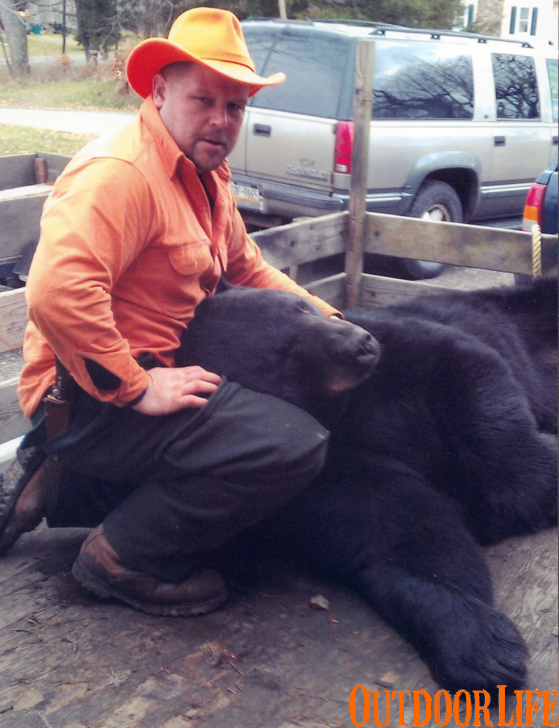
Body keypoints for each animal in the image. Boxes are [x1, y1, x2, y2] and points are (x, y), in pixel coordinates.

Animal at [174, 277, 558, 695]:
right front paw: (481, 647)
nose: (358, 345)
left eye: (301, 307)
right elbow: (400, 524)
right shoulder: (330, 467)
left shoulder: (404, 352)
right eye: (284, 354)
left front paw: (529, 487)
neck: (346, 406)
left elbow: (469, 372)